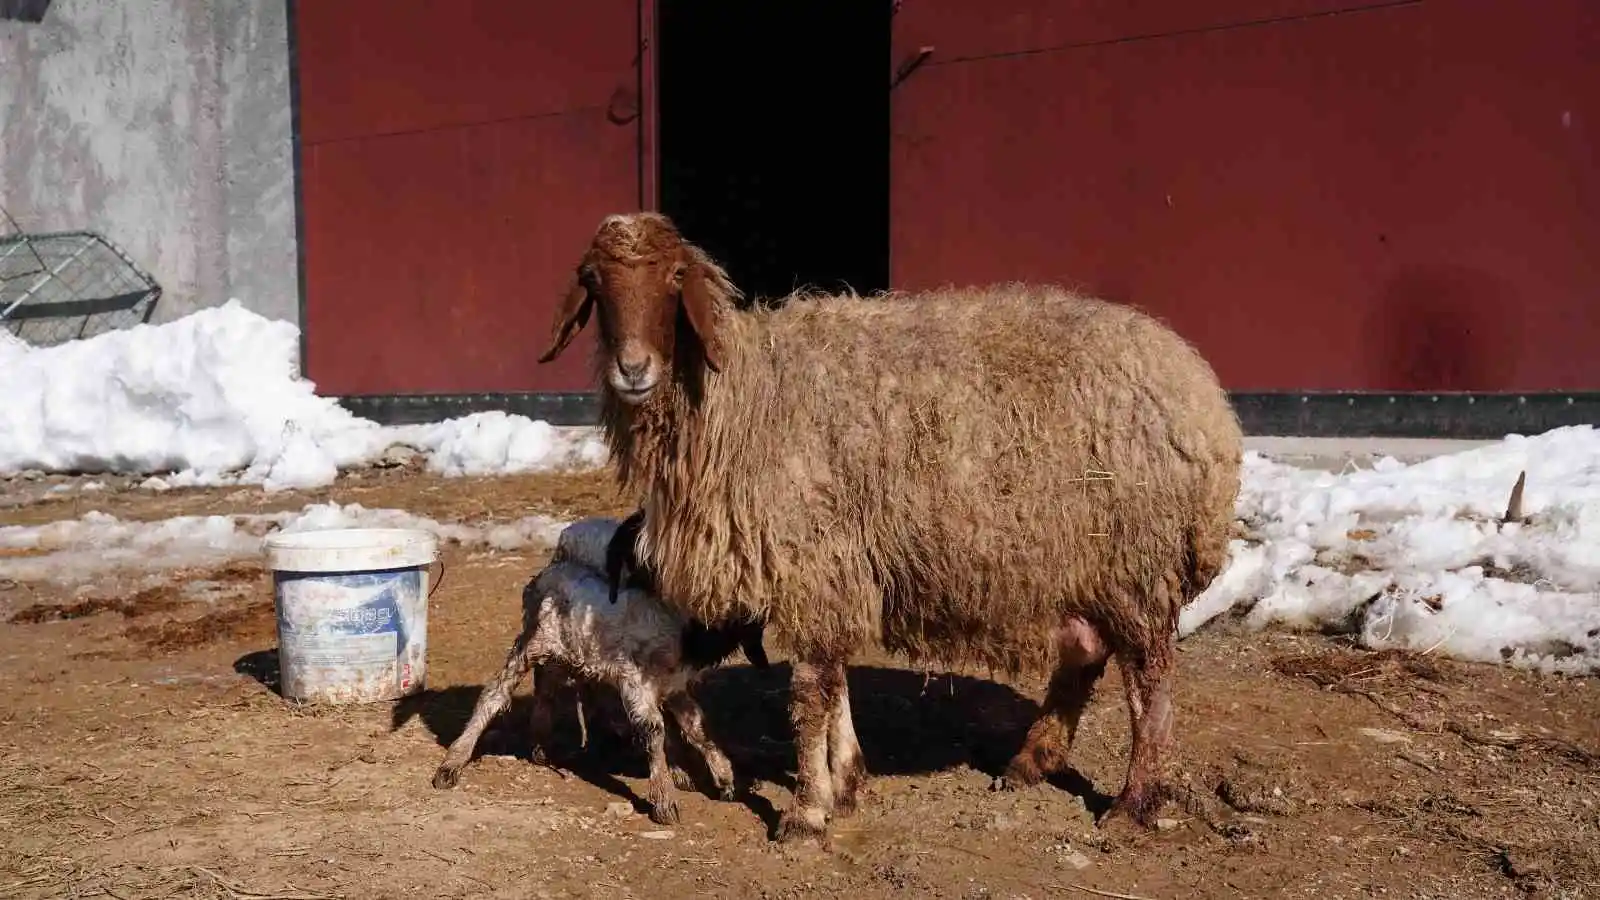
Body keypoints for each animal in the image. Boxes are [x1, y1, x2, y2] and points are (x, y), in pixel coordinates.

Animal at [540, 209, 1248, 839]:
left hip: (1136, 563)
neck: (739, 397)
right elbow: (832, 679)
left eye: (674, 277)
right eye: (594, 282)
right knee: (1084, 656)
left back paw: (1133, 804)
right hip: (1084, 563)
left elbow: (809, 692)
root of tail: (1203, 396)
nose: (633, 370)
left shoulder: (814, 557)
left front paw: (807, 810)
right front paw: (847, 783)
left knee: (1149, 683)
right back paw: (1031, 762)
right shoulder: (835, 565)